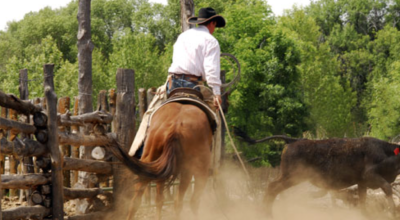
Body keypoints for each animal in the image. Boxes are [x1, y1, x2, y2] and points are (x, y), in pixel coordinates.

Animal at [234, 131, 400, 217]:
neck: (386, 151)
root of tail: (292, 141)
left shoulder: (362, 183)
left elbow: (363, 201)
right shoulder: (371, 176)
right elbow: (387, 188)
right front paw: (393, 212)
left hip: (288, 177)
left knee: (272, 188)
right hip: (291, 177)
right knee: (272, 187)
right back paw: (266, 214)